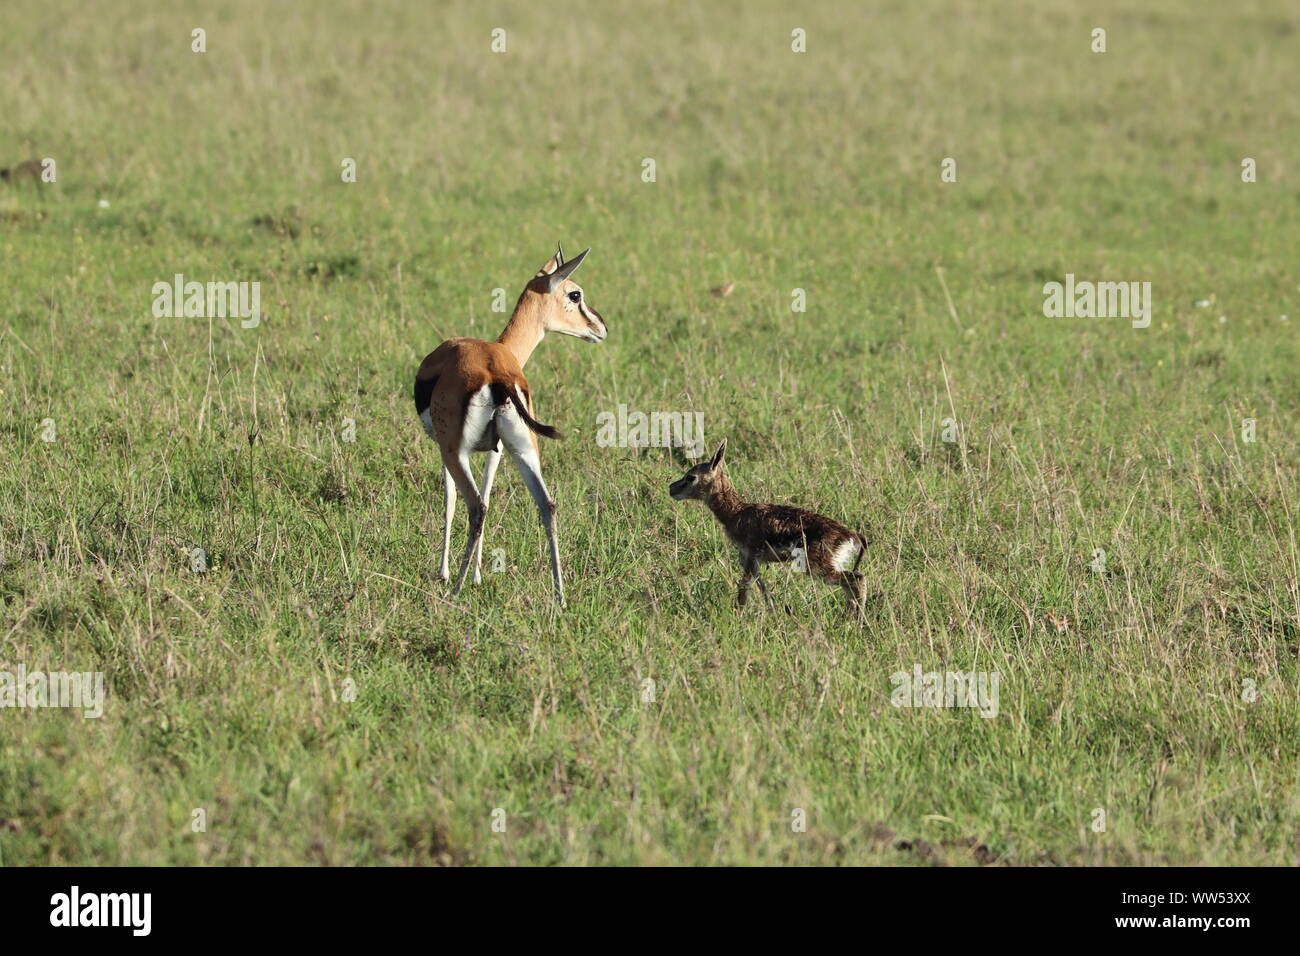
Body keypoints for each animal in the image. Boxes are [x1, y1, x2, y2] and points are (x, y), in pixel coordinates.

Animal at [414, 244, 606, 607]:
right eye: (575, 294)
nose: (601, 327)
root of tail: (499, 372)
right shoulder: (497, 450)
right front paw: (476, 576)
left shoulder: (446, 449)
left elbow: (449, 501)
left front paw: (445, 573)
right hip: (523, 449)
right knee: (546, 504)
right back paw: (560, 597)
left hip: (456, 452)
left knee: (476, 506)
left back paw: (455, 589)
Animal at [669, 440, 868, 612]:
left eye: (691, 477)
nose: (671, 488)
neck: (736, 513)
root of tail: (852, 534)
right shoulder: (753, 562)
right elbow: (764, 592)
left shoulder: (750, 558)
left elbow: (743, 592)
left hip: (817, 568)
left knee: (857, 580)